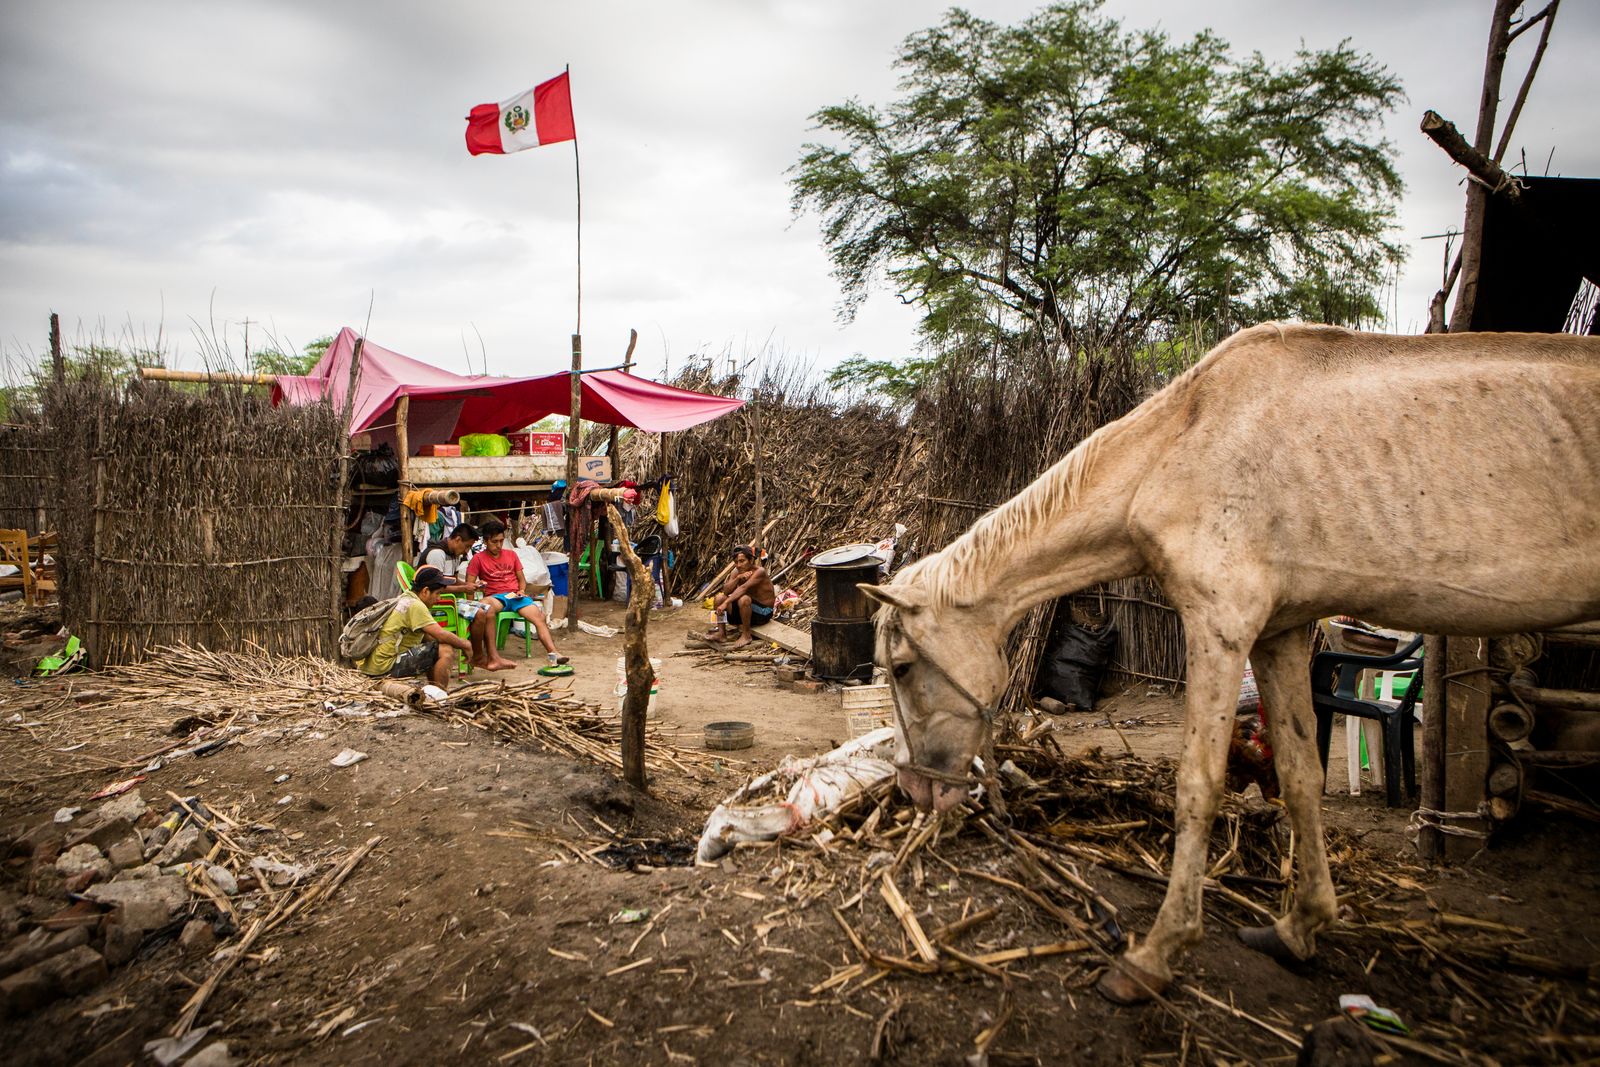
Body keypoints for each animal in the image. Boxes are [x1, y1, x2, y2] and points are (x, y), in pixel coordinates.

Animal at [864, 321, 1600, 1004]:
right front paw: (1300, 926)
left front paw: (1155, 954)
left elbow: (1199, 784)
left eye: (900, 668)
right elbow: (1301, 777)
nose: (914, 789)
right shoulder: (1281, 631)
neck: (1181, 443)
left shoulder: (1220, 622)